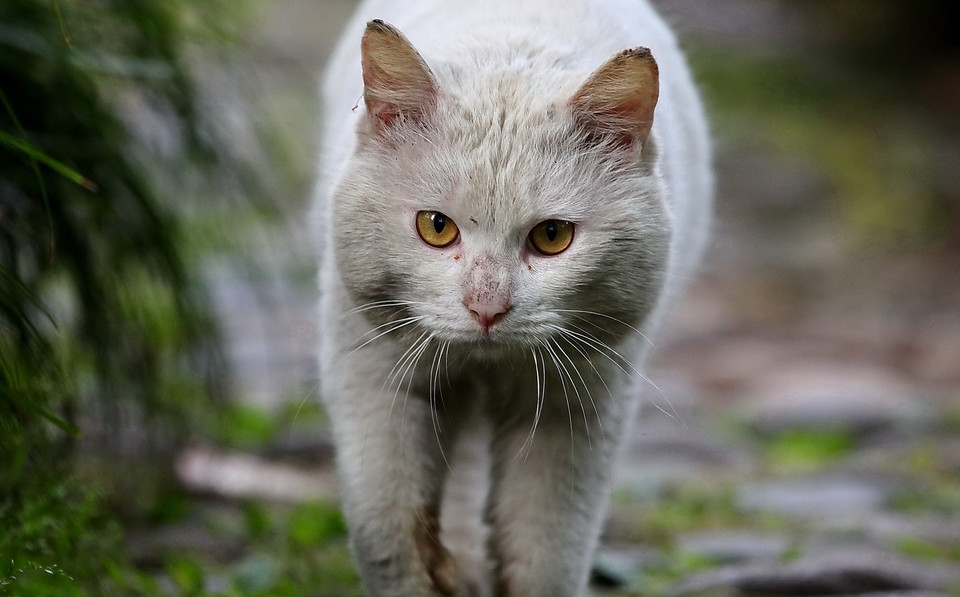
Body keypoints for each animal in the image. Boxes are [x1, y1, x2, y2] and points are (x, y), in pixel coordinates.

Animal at [316, 2, 712, 592]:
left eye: (552, 236)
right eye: (435, 227)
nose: (487, 308)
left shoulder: (576, 409)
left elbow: (546, 554)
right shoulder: (375, 376)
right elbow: (390, 532)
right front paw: (428, 572)